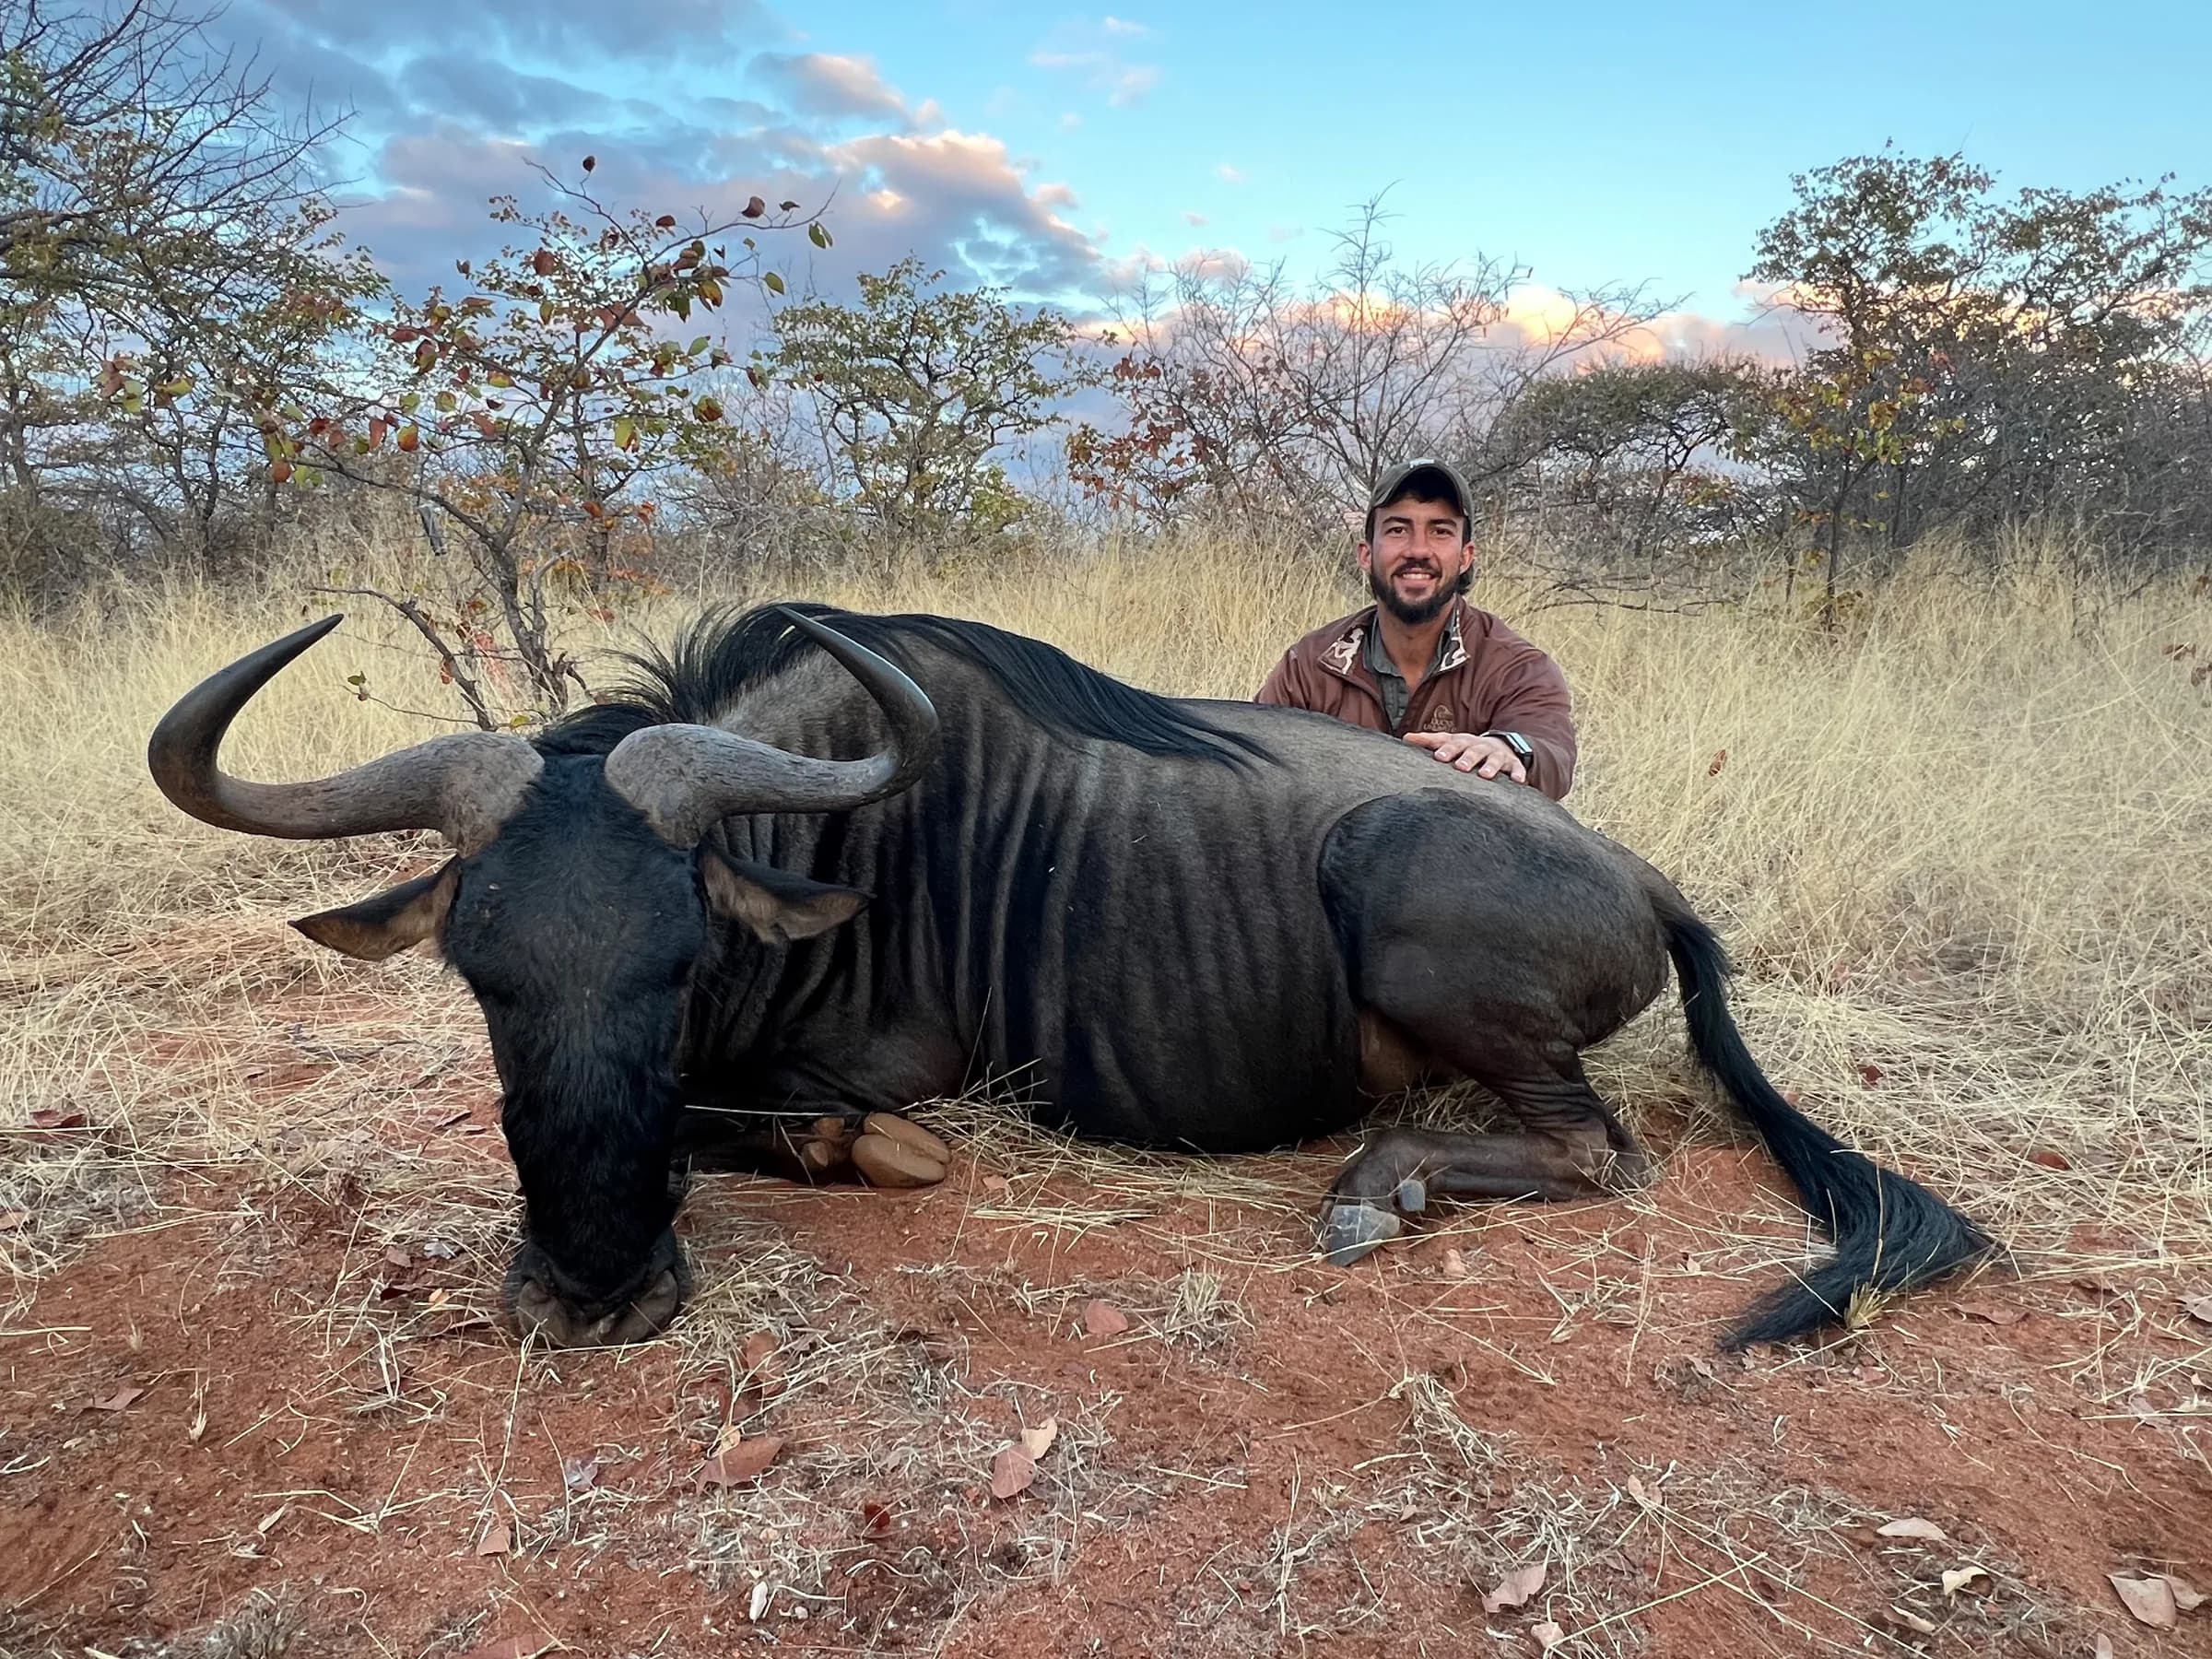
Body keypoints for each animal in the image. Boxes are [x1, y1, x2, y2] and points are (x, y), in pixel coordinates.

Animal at [147, 603, 1992, 1350]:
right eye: (482, 976)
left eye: (683, 962)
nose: (594, 1293)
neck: (825, 833)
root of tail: (1645, 879)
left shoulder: (886, 1074)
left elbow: (791, 1128)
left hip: (1392, 882)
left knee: (1600, 1151)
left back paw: (1376, 1188)